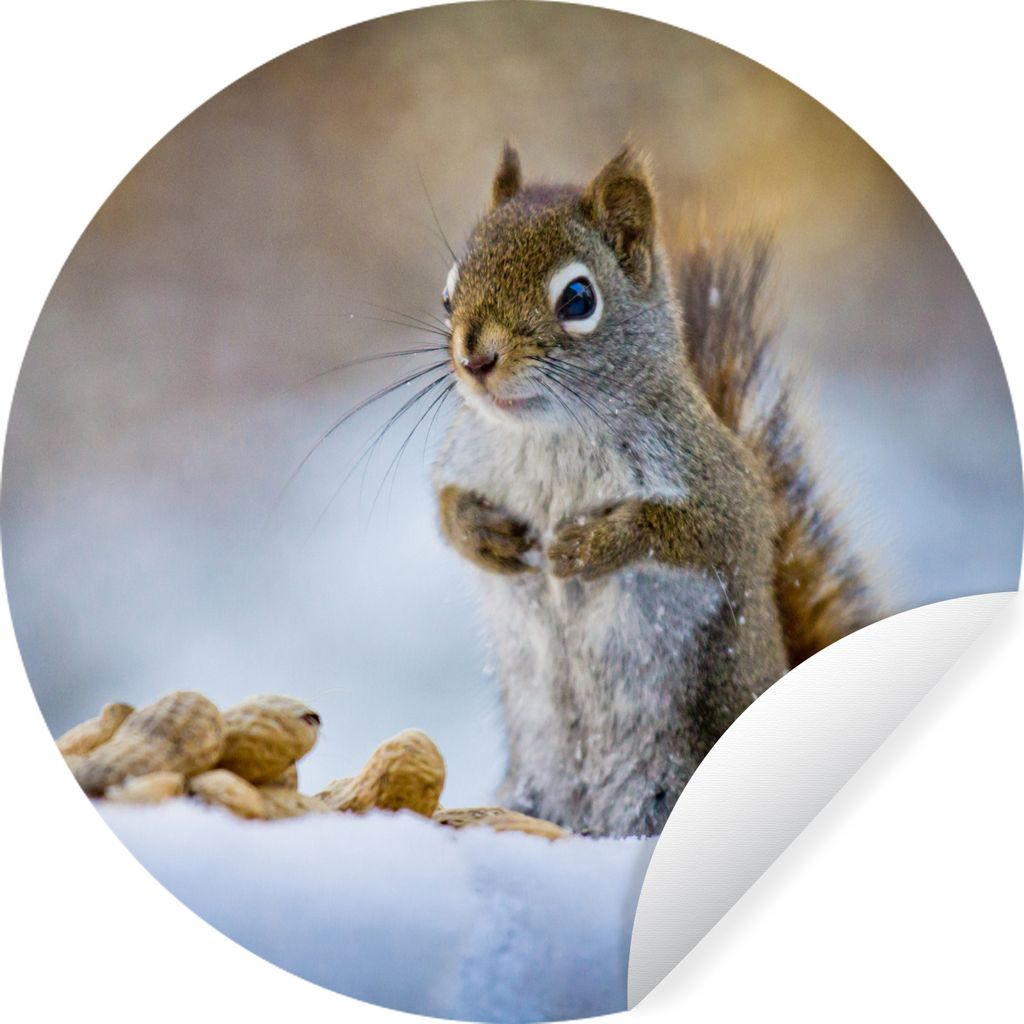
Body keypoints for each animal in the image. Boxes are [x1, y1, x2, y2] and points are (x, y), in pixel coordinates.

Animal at [432, 144, 871, 838]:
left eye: (578, 298)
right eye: (449, 293)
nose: (475, 359)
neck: (549, 435)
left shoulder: (721, 487)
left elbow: (698, 532)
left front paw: (590, 546)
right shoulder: (464, 458)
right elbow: (444, 506)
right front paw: (485, 535)